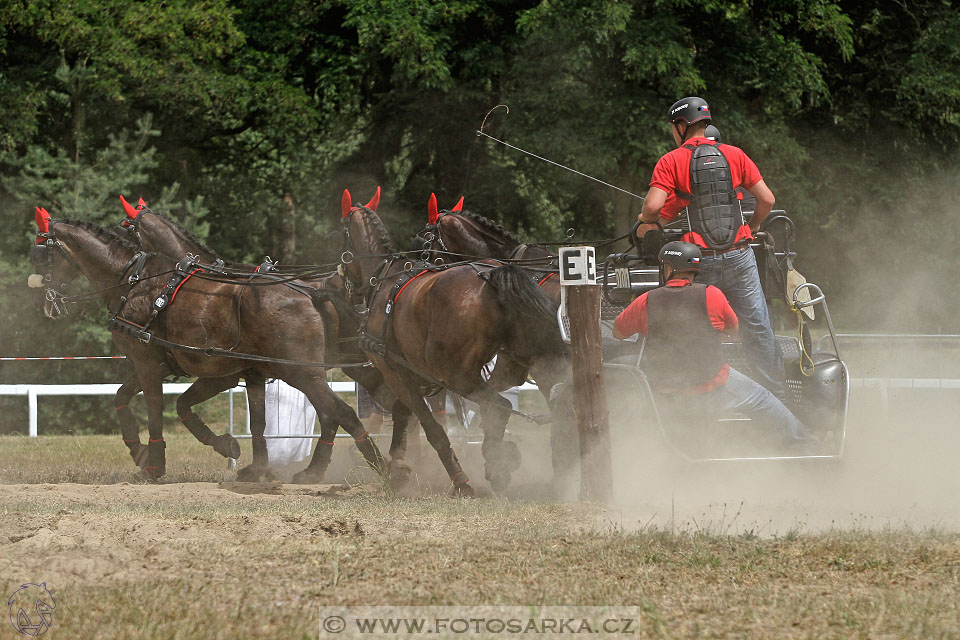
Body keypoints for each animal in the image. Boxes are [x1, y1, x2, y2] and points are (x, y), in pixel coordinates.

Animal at [31, 208, 388, 482]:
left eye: (42, 254)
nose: (47, 303)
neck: (136, 283)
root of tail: (313, 292)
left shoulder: (154, 362)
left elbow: (157, 410)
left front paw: (154, 462)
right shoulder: (189, 366)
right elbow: (132, 398)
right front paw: (142, 449)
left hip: (304, 372)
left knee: (341, 413)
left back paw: (380, 467)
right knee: (341, 411)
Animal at [114, 195, 418, 484]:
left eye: (124, 228)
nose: (129, 275)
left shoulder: (229, 373)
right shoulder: (253, 373)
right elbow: (258, 422)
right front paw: (256, 465)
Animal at [336, 188, 568, 492]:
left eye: (426, 235)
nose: (345, 284)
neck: (386, 276)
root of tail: (492, 276)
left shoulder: (396, 372)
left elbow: (430, 426)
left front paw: (457, 479)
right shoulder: (414, 375)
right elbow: (402, 414)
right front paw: (399, 465)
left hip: (458, 374)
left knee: (501, 407)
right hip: (523, 360)